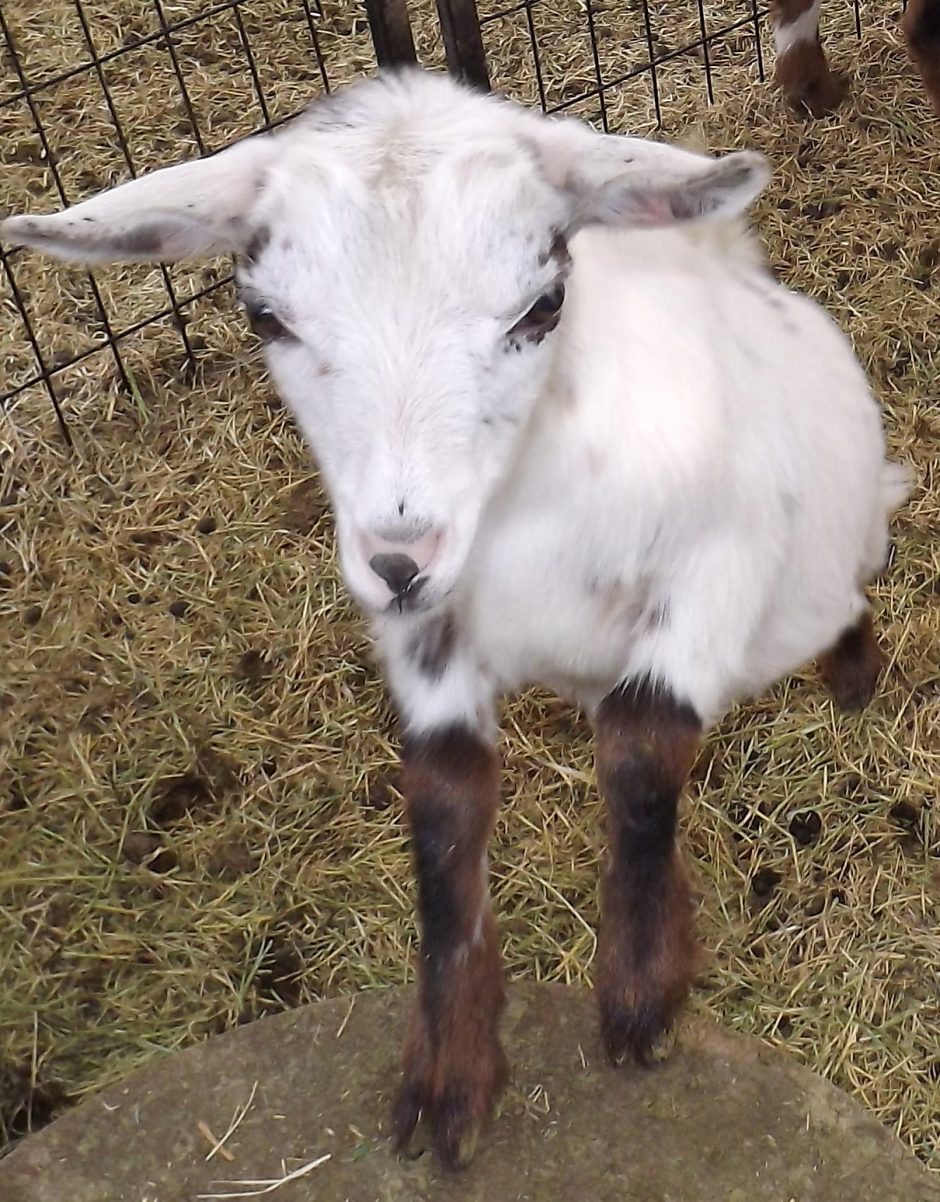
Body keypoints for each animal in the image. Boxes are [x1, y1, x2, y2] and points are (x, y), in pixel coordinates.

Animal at [1, 69, 910, 1170]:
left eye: (542, 303)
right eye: (265, 316)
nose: (402, 553)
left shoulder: (718, 567)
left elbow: (643, 745)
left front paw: (641, 991)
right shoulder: (424, 637)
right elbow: (443, 804)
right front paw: (450, 1074)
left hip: (844, 533)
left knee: (850, 587)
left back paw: (854, 673)